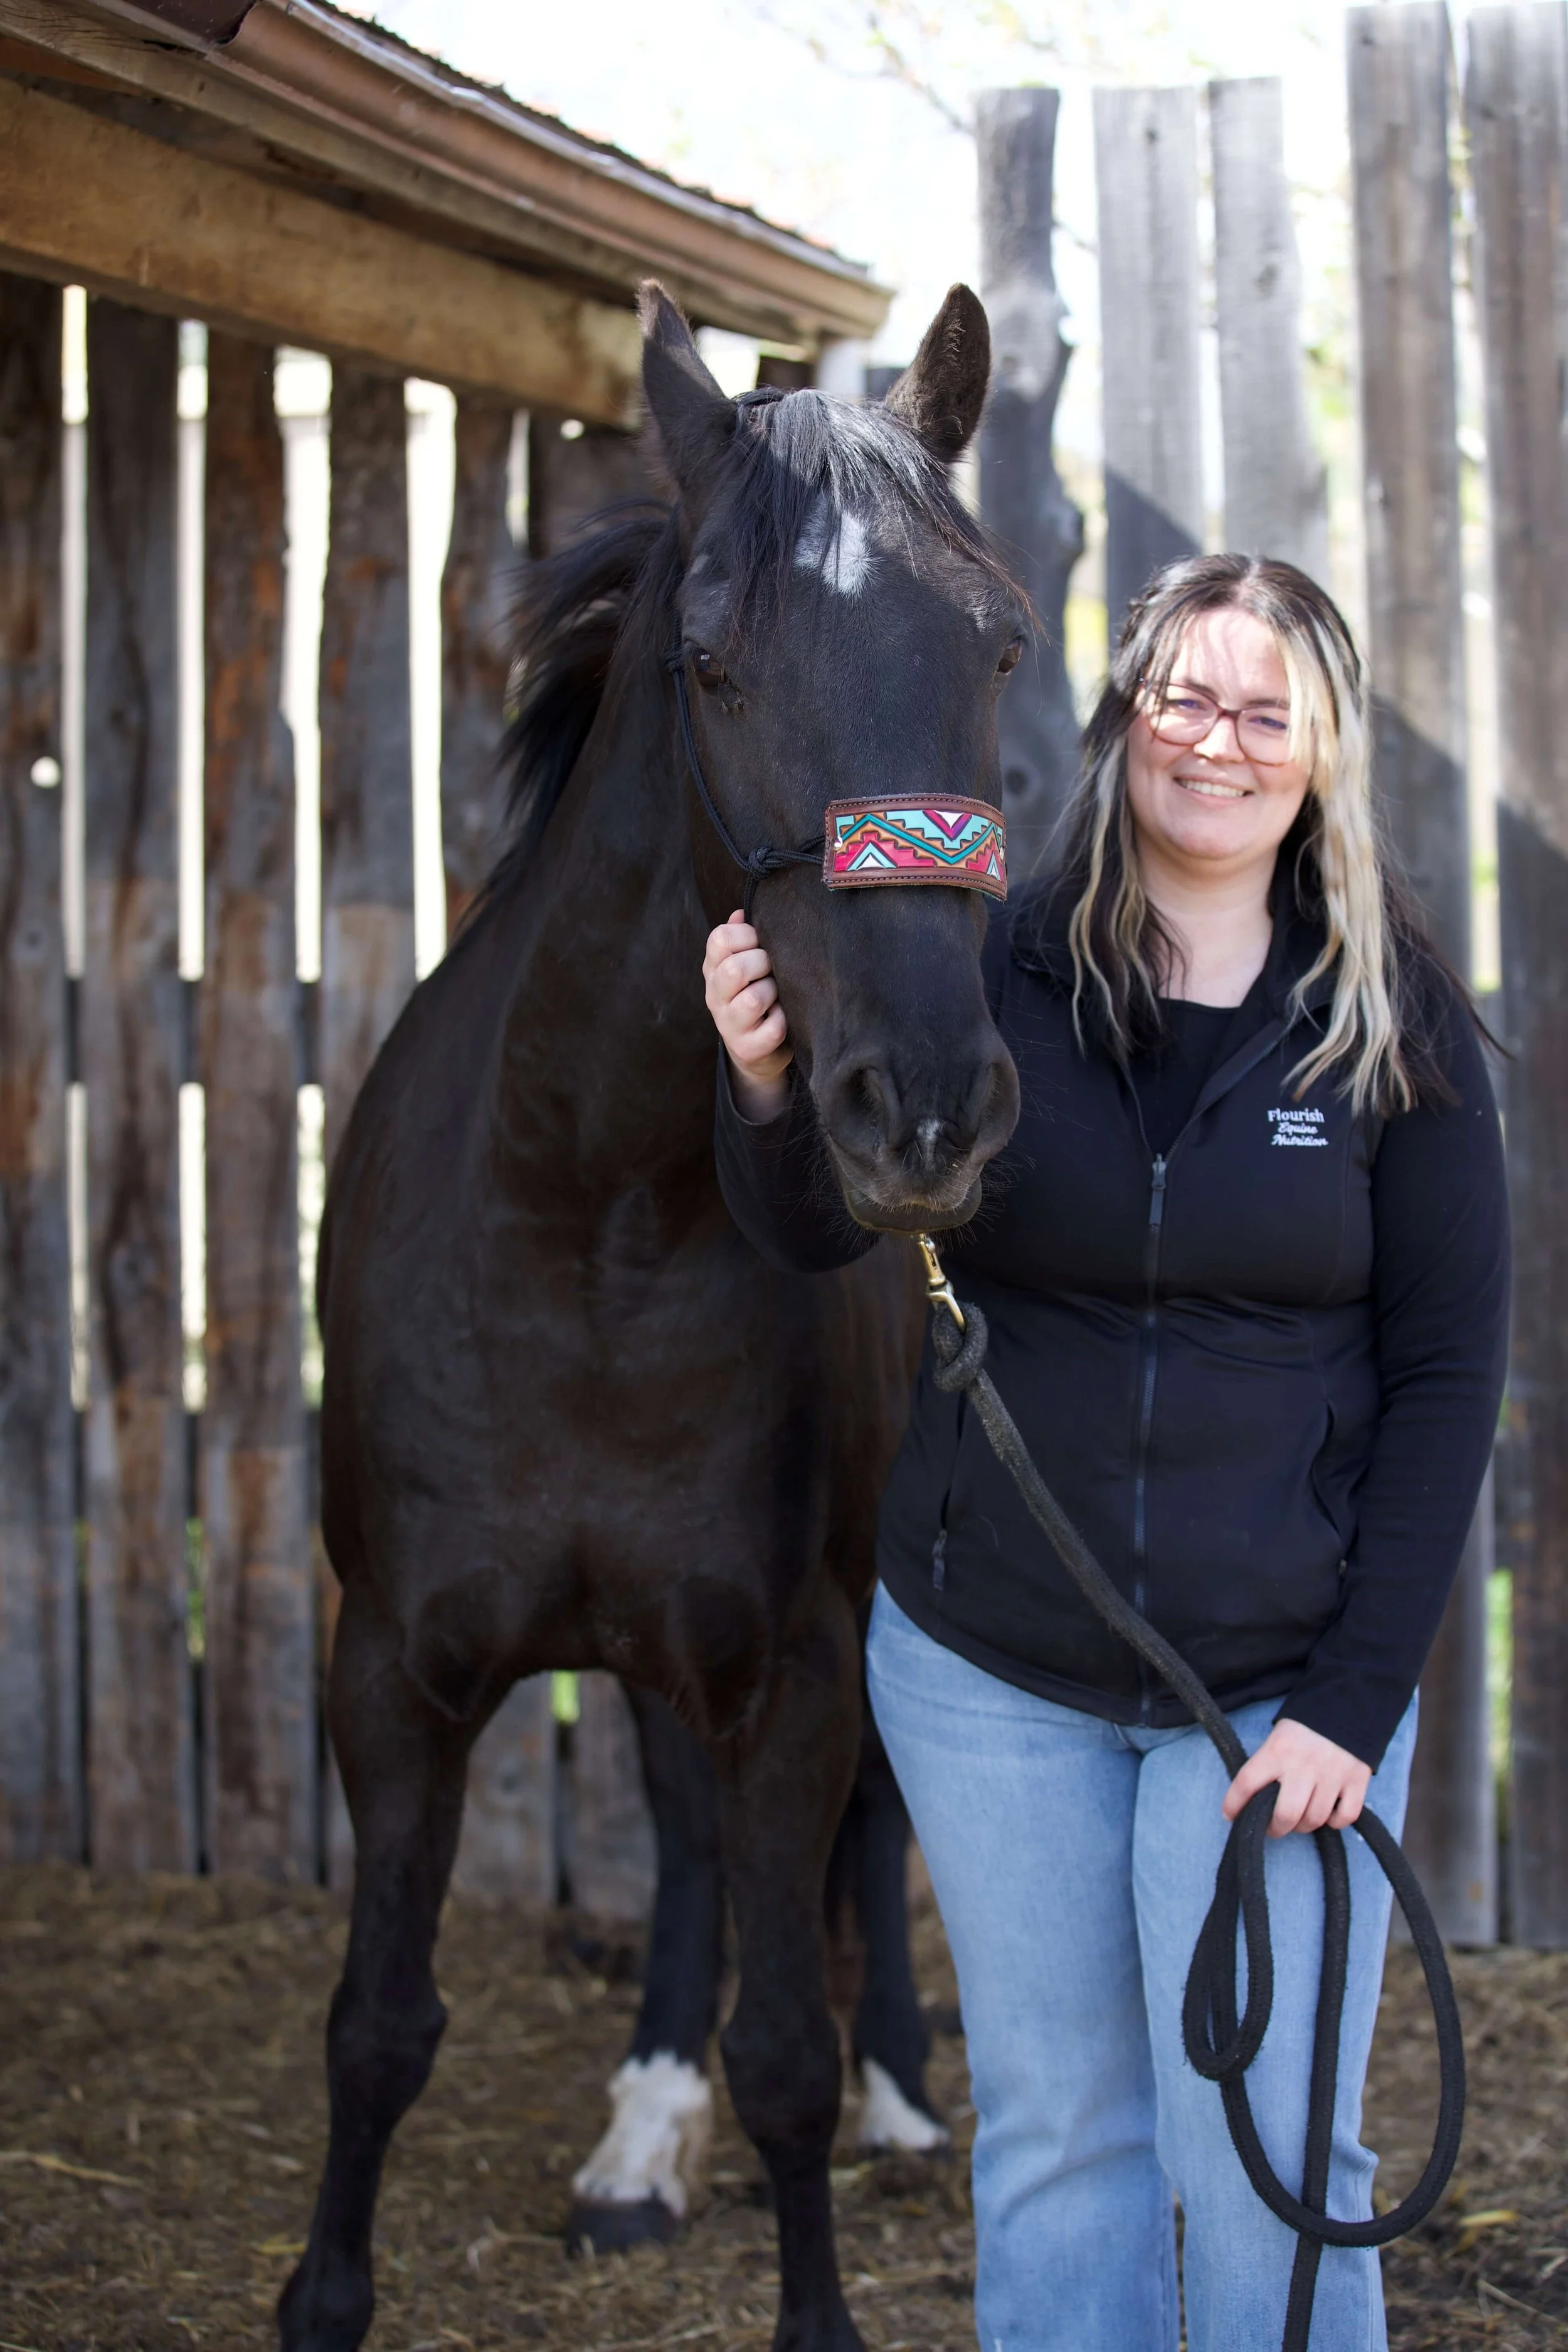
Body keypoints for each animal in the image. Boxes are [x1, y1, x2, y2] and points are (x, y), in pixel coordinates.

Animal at [279, 280, 1023, 2352]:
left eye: (998, 640)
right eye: (705, 658)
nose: (917, 1109)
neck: (587, 1216)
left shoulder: (790, 1659)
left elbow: (789, 2043)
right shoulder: (396, 1673)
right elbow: (375, 2024)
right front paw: (324, 2289)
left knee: (860, 1842)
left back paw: (896, 2097)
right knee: (689, 1840)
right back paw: (637, 2135)